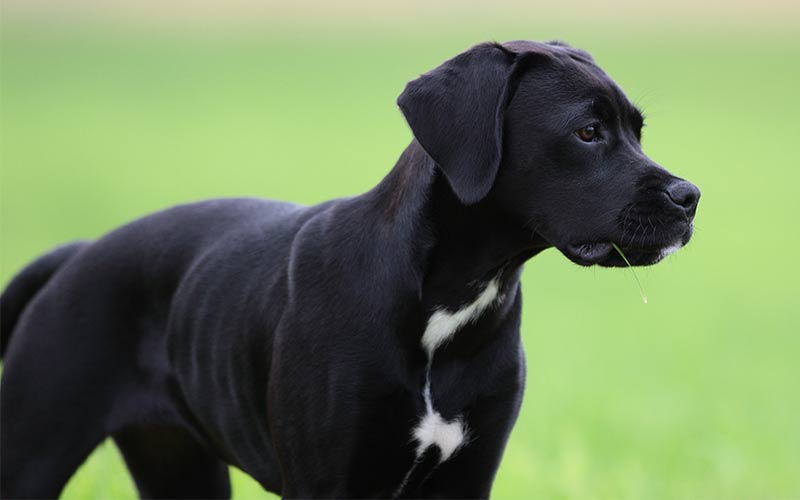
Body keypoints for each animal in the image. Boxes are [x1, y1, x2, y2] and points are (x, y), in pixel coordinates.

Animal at [0, 41, 700, 498]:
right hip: (32, 450)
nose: (690, 196)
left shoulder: (467, 478)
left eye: (636, 130)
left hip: (180, 468)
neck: (449, 300)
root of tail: (80, 251)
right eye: (587, 132)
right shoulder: (327, 482)